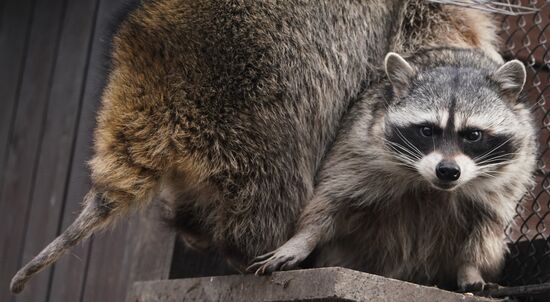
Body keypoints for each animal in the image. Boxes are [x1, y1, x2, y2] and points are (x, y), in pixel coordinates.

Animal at [251, 48, 540, 292]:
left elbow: (485, 227)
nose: (447, 171)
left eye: (473, 135)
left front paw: (469, 267)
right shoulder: (359, 148)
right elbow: (332, 200)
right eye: (427, 130)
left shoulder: (509, 178)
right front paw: (303, 238)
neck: (432, 188)